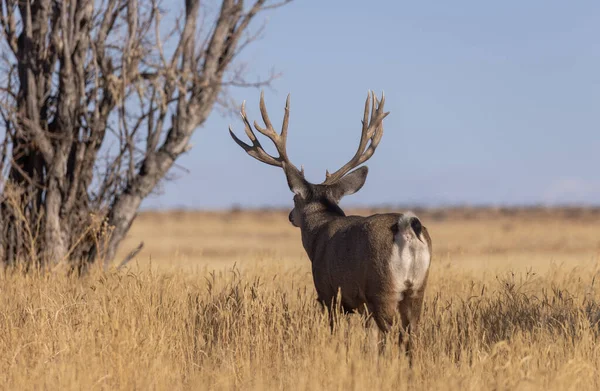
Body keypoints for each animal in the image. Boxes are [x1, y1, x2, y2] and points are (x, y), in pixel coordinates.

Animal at [229, 91, 432, 356]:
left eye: (294, 199)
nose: (290, 216)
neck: (318, 236)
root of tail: (407, 228)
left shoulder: (329, 292)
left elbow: (337, 332)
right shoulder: (360, 303)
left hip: (382, 289)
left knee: (391, 334)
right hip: (417, 291)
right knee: (411, 337)